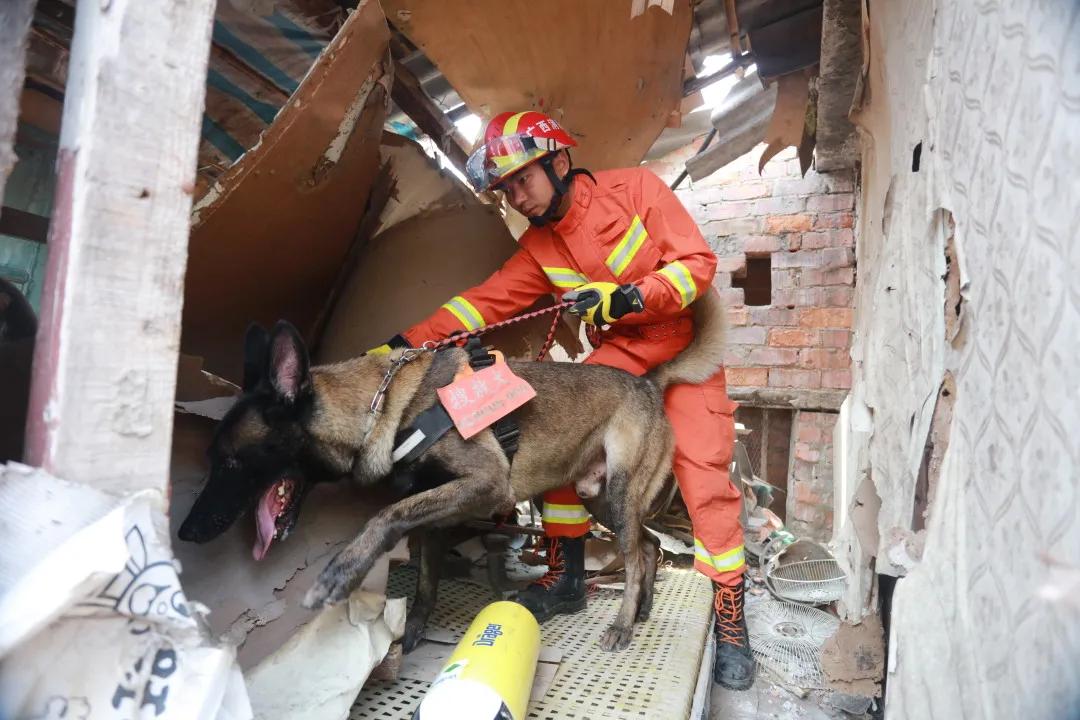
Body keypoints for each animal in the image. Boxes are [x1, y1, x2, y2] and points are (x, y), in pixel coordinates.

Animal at [179, 289, 725, 651]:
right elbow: (424, 578)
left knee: (632, 556)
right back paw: (644, 608)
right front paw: (413, 631)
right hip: (601, 499)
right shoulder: (435, 514)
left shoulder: (484, 485)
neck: (383, 408)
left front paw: (342, 572)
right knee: (647, 546)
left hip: (617, 493)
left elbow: (385, 516)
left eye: (230, 462)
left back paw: (624, 624)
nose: (185, 532)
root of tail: (648, 382)